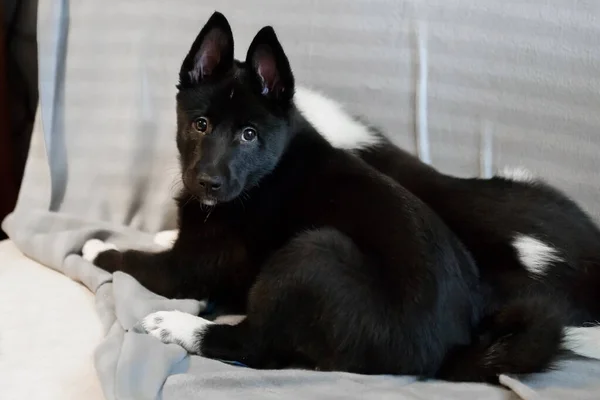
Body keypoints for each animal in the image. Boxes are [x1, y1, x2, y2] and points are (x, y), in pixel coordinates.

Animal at [82, 11, 596, 382]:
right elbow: (161, 241)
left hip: (310, 253)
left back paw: (175, 325)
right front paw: (156, 232)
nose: (207, 183)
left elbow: (129, 260)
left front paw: (95, 246)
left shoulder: (186, 270)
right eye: (200, 124)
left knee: (257, 347)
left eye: (249, 135)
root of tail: (449, 357)